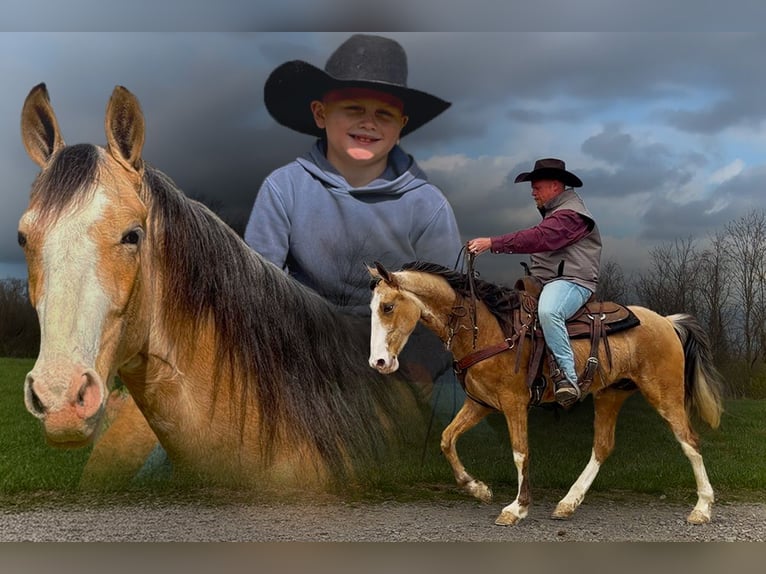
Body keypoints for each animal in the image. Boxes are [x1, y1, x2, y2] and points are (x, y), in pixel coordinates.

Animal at [368, 260, 725, 525]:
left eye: (388, 306)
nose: (379, 362)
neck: (488, 327)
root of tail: (666, 321)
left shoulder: (514, 403)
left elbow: (520, 451)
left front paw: (517, 507)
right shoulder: (480, 403)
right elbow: (446, 439)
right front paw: (478, 489)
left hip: (665, 395)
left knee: (690, 441)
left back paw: (702, 509)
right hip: (610, 395)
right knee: (602, 446)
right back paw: (568, 503)